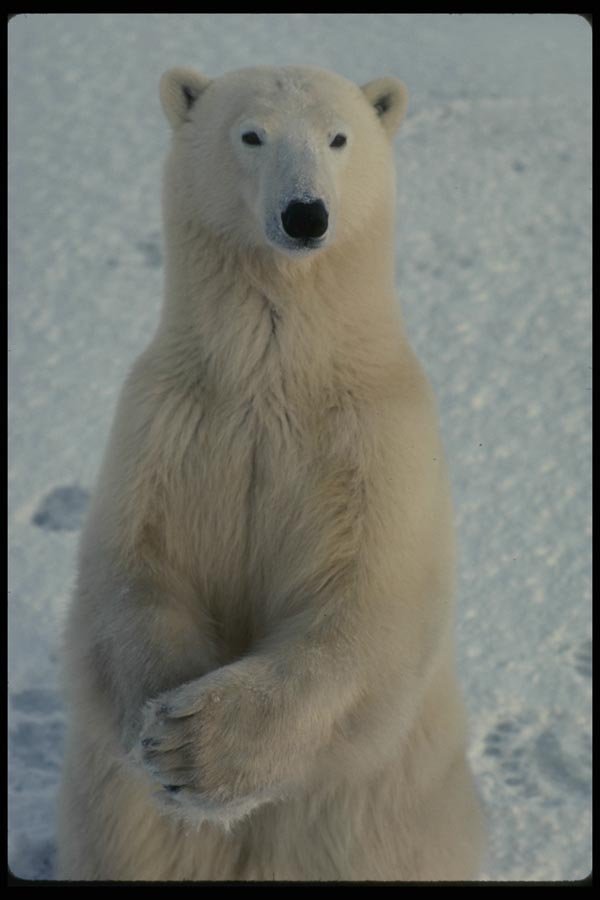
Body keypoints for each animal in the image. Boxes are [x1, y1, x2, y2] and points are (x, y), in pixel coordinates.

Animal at [57, 64, 485, 881]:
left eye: (339, 137)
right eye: (251, 134)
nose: (305, 214)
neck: (273, 374)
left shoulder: (373, 438)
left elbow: (367, 606)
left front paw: (194, 745)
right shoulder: (170, 423)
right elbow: (134, 570)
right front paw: (160, 724)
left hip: (392, 823)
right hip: (120, 825)